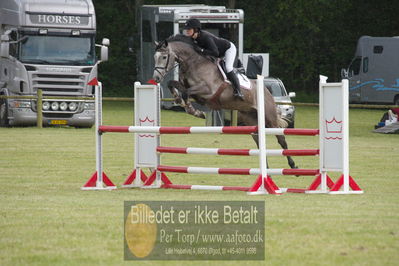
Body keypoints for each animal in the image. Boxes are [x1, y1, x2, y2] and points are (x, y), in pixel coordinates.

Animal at [153, 34, 296, 169]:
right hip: (251, 118)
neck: (194, 62)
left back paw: (293, 165)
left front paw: (192, 109)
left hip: (269, 117)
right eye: (155, 57)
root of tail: (267, 91)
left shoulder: (207, 90)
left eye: (164, 57)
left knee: (281, 138)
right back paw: (266, 168)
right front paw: (184, 104)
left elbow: (186, 93)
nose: (156, 78)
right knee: (259, 140)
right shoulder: (193, 91)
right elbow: (174, 85)